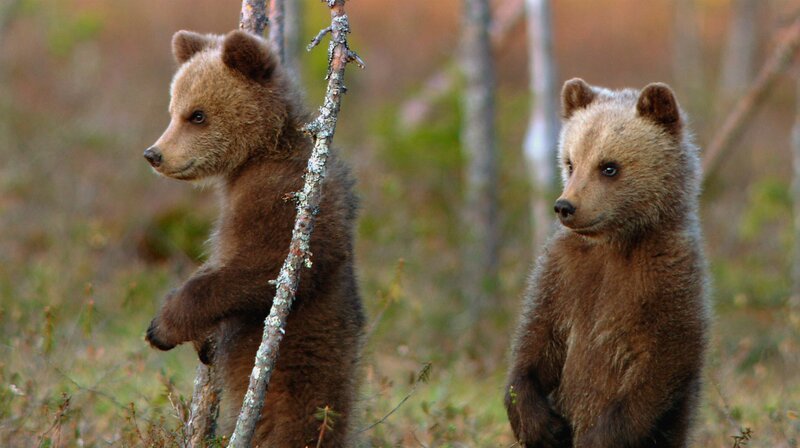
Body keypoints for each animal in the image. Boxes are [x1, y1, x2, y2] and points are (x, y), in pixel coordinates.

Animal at [143, 30, 365, 447]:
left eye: (197, 114)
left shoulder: (281, 200)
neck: (262, 151)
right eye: (173, 109)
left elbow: (266, 270)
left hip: (295, 375)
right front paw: (203, 341)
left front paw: (163, 325)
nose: (154, 154)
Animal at [504, 78, 710, 448]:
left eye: (609, 166)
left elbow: (661, 364)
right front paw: (543, 426)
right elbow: (535, 340)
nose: (565, 206)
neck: (615, 243)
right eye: (571, 162)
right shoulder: (563, 273)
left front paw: (595, 437)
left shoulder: (666, 278)